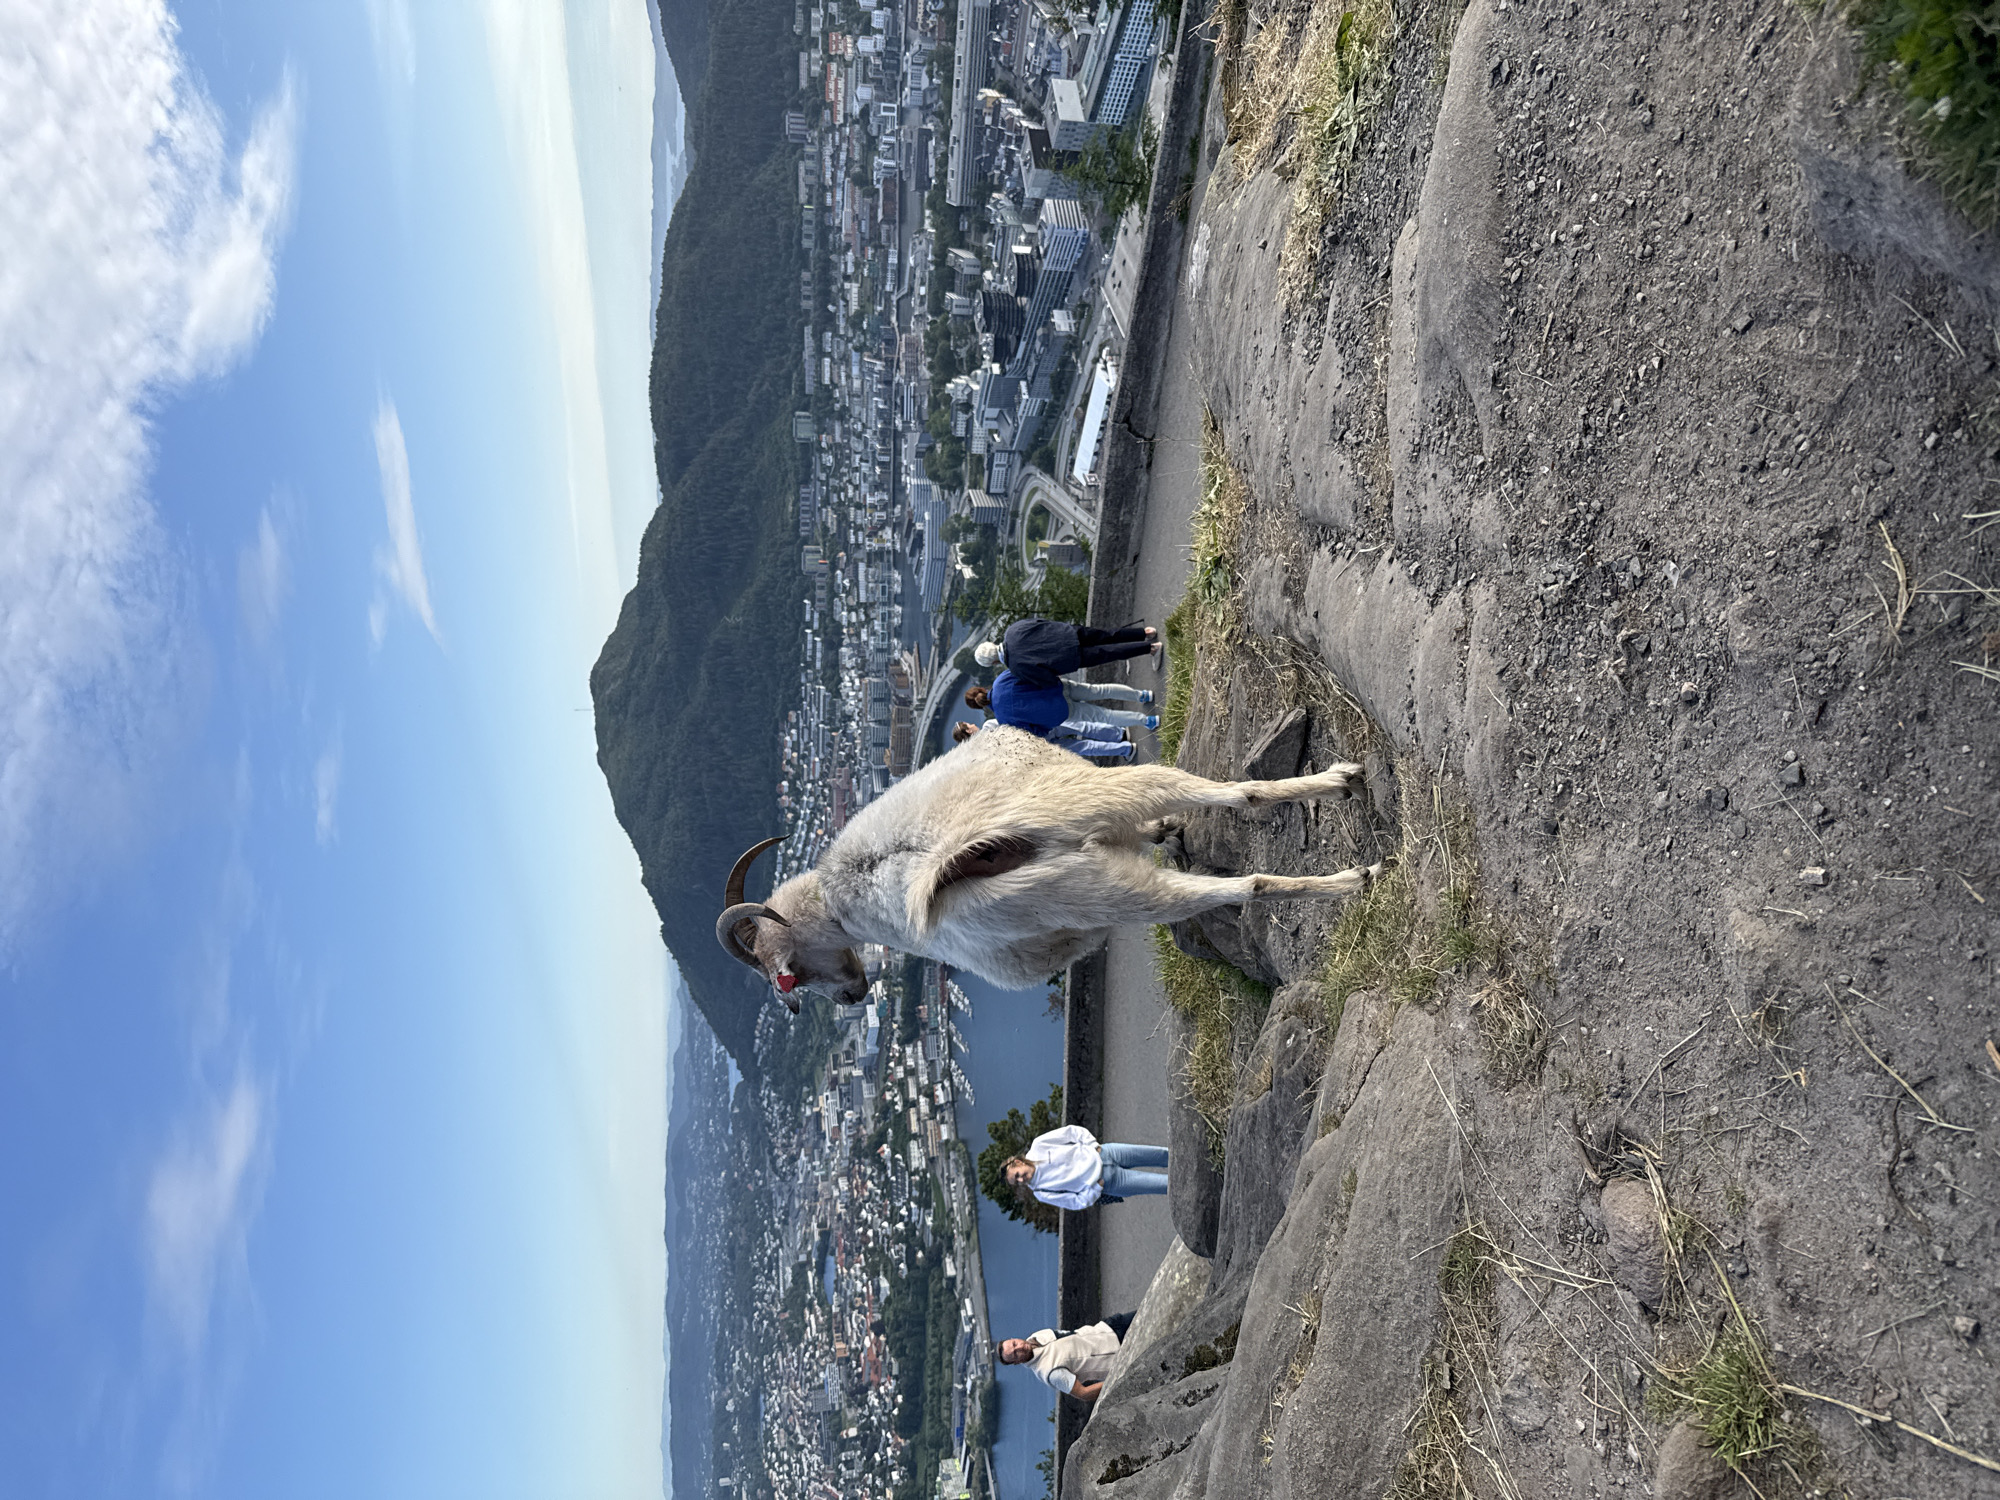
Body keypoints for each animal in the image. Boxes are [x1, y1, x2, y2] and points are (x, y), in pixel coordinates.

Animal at [716, 726, 1383, 1007]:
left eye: (788, 974)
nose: (853, 996)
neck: (843, 899)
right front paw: (1166, 832)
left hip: (1083, 834)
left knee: (1242, 871)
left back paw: (1356, 870)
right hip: (1094, 837)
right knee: (1236, 813)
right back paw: (1346, 801)